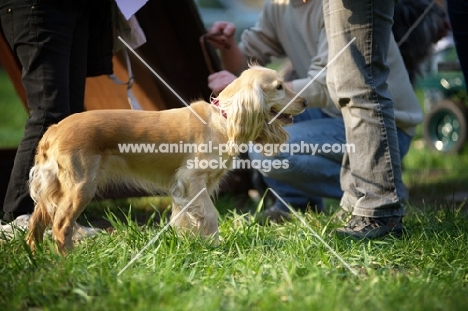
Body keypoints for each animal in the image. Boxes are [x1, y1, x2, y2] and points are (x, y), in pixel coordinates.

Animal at [27, 66, 308, 254]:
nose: (305, 102)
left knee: (36, 223)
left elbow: (188, 218)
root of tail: (52, 131)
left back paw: (36, 256)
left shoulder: (190, 188)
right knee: (60, 226)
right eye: (279, 87)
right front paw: (215, 246)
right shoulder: (192, 180)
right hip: (81, 187)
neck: (223, 119)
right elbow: (210, 215)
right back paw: (67, 260)